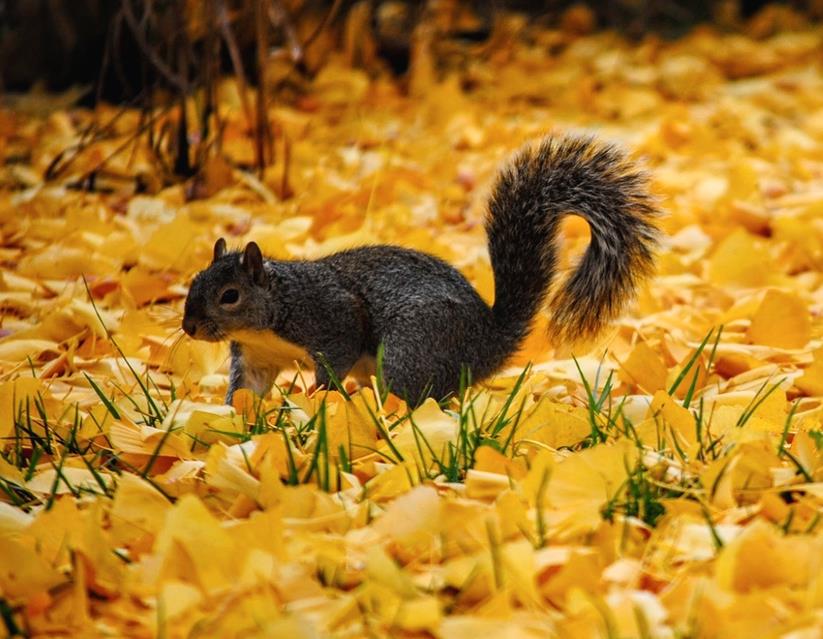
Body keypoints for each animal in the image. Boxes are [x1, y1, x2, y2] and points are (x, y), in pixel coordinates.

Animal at [182, 134, 660, 405]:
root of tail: (486, 344)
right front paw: (233, 422)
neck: (274, 308)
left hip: (411, 348)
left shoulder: (330, 315)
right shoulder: (257, 356)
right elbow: (247, 390)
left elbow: (336, 356)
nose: (189, 328)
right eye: (193, 283)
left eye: (229, 296)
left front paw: (321, 403)